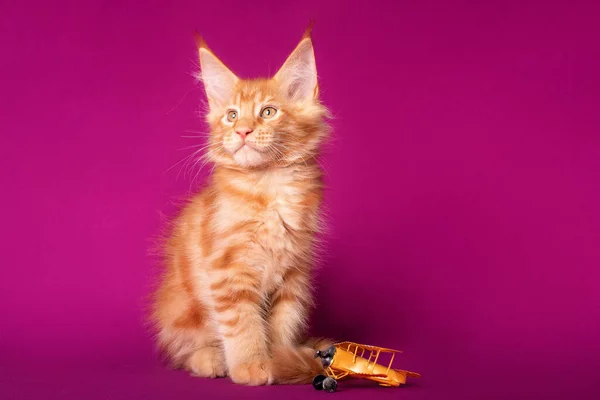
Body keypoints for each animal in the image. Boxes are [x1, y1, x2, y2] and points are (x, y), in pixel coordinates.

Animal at [151, 26, 332, 386]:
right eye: (231, 115)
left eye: (268, 112)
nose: (243, 131)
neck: (269, 185)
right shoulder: (227, 271)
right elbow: (243, 323)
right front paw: (251, 366)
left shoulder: (293, 274)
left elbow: (282, 324)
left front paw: (281, 358)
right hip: (180, 308)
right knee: (185, 347)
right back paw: (210, 359)